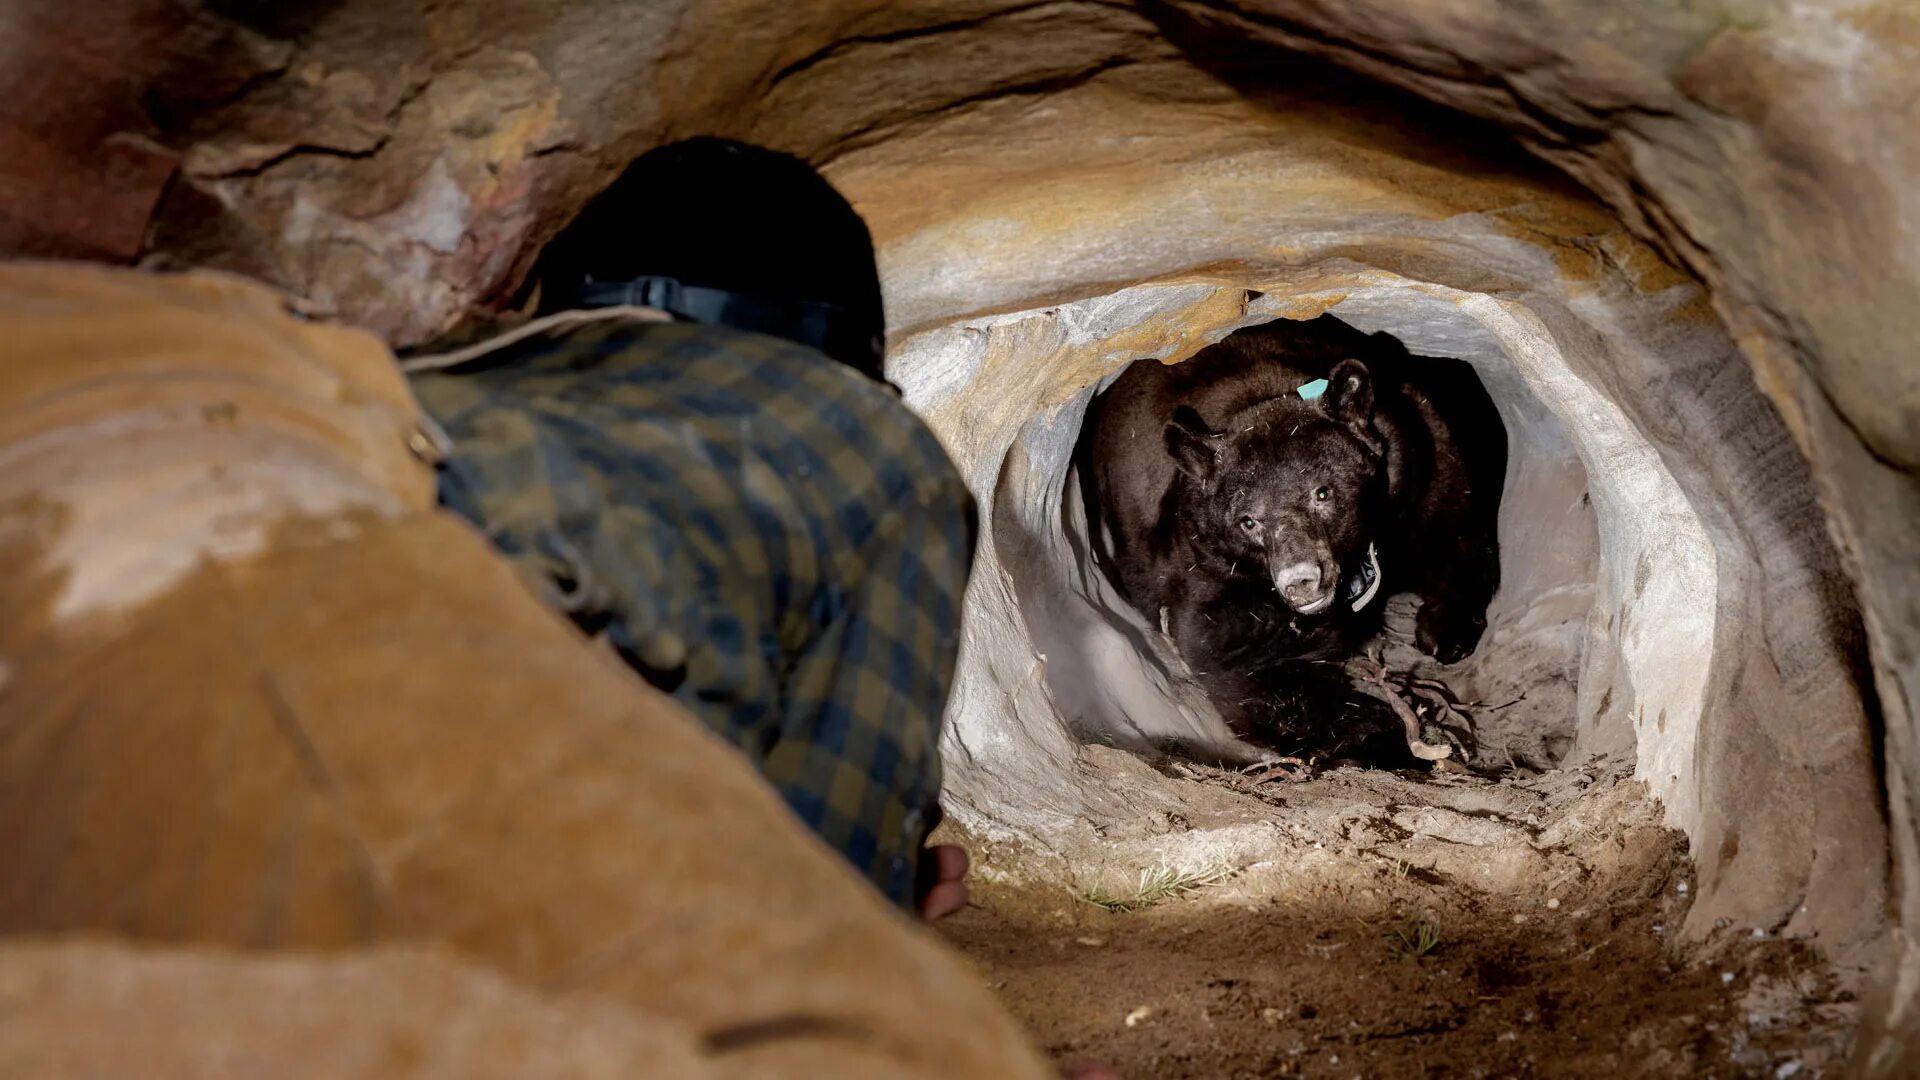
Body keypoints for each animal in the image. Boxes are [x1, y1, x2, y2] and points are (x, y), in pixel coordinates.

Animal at [1082, 315, 1497, 760]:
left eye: (1322, 493)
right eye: (1248, 521)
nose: (1300, 581)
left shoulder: (1410, 458)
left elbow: (1447, 523)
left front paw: (1447, 631)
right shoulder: (1207, 568)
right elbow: (1250, 669)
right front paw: (1390, 735)